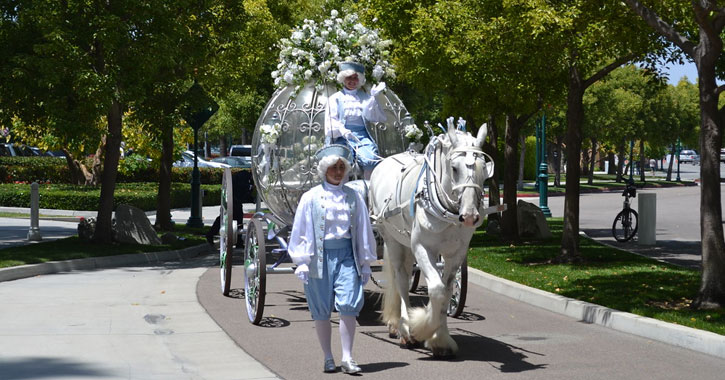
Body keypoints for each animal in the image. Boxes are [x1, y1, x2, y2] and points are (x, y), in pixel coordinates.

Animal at [368, 125, 492, 360]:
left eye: (484, 167)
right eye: (454, 168)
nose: (470, 216)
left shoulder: (456, 254)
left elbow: (446, 291)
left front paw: (440, 339)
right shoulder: (422, 248)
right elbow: (436, 289)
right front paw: (420, 327)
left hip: (405, 243)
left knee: (407, 276)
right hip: (392, 239)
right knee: (401, 279)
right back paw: (404, 328)